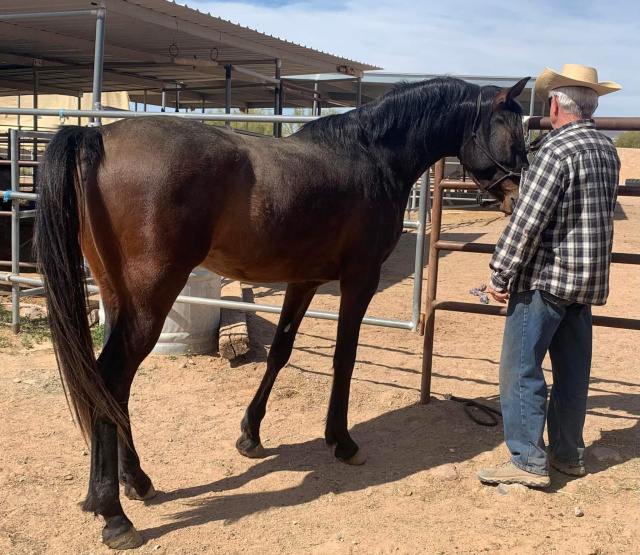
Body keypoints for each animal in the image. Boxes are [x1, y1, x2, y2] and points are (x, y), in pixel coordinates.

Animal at [32, 76, 528, 548]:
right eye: (511, 129)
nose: (518, 196)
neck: (371, 155)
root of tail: (97, 135)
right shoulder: (359, 279)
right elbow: (344, 358)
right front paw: (342, 441)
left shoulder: (303, 281)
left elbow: (280, 352)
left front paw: (250, 435)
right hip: (149, 299)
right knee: (111, 378)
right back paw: (113, 513)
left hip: (118, 297)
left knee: (111, 388)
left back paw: (136, 481)